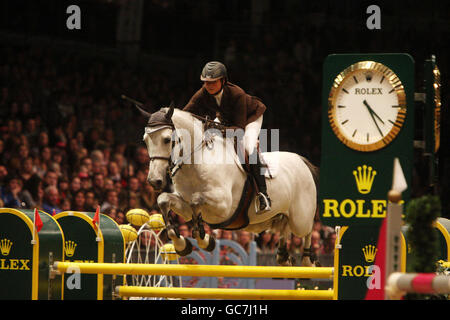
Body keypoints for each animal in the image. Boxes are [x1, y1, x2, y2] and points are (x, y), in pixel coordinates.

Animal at [139, 105, 318, 268]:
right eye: (145, 140)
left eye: (167, 139)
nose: (154, 181)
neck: (197, 163)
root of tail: (301, 160)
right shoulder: (185, 207)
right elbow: (164, 200)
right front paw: (183, 244)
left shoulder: (223, 207)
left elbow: (196, 200)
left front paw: (204, 239)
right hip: (266, 221)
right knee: (283, 228)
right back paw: (283, 257)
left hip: (300, 219)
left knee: (307, 230)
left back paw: (308, 261)